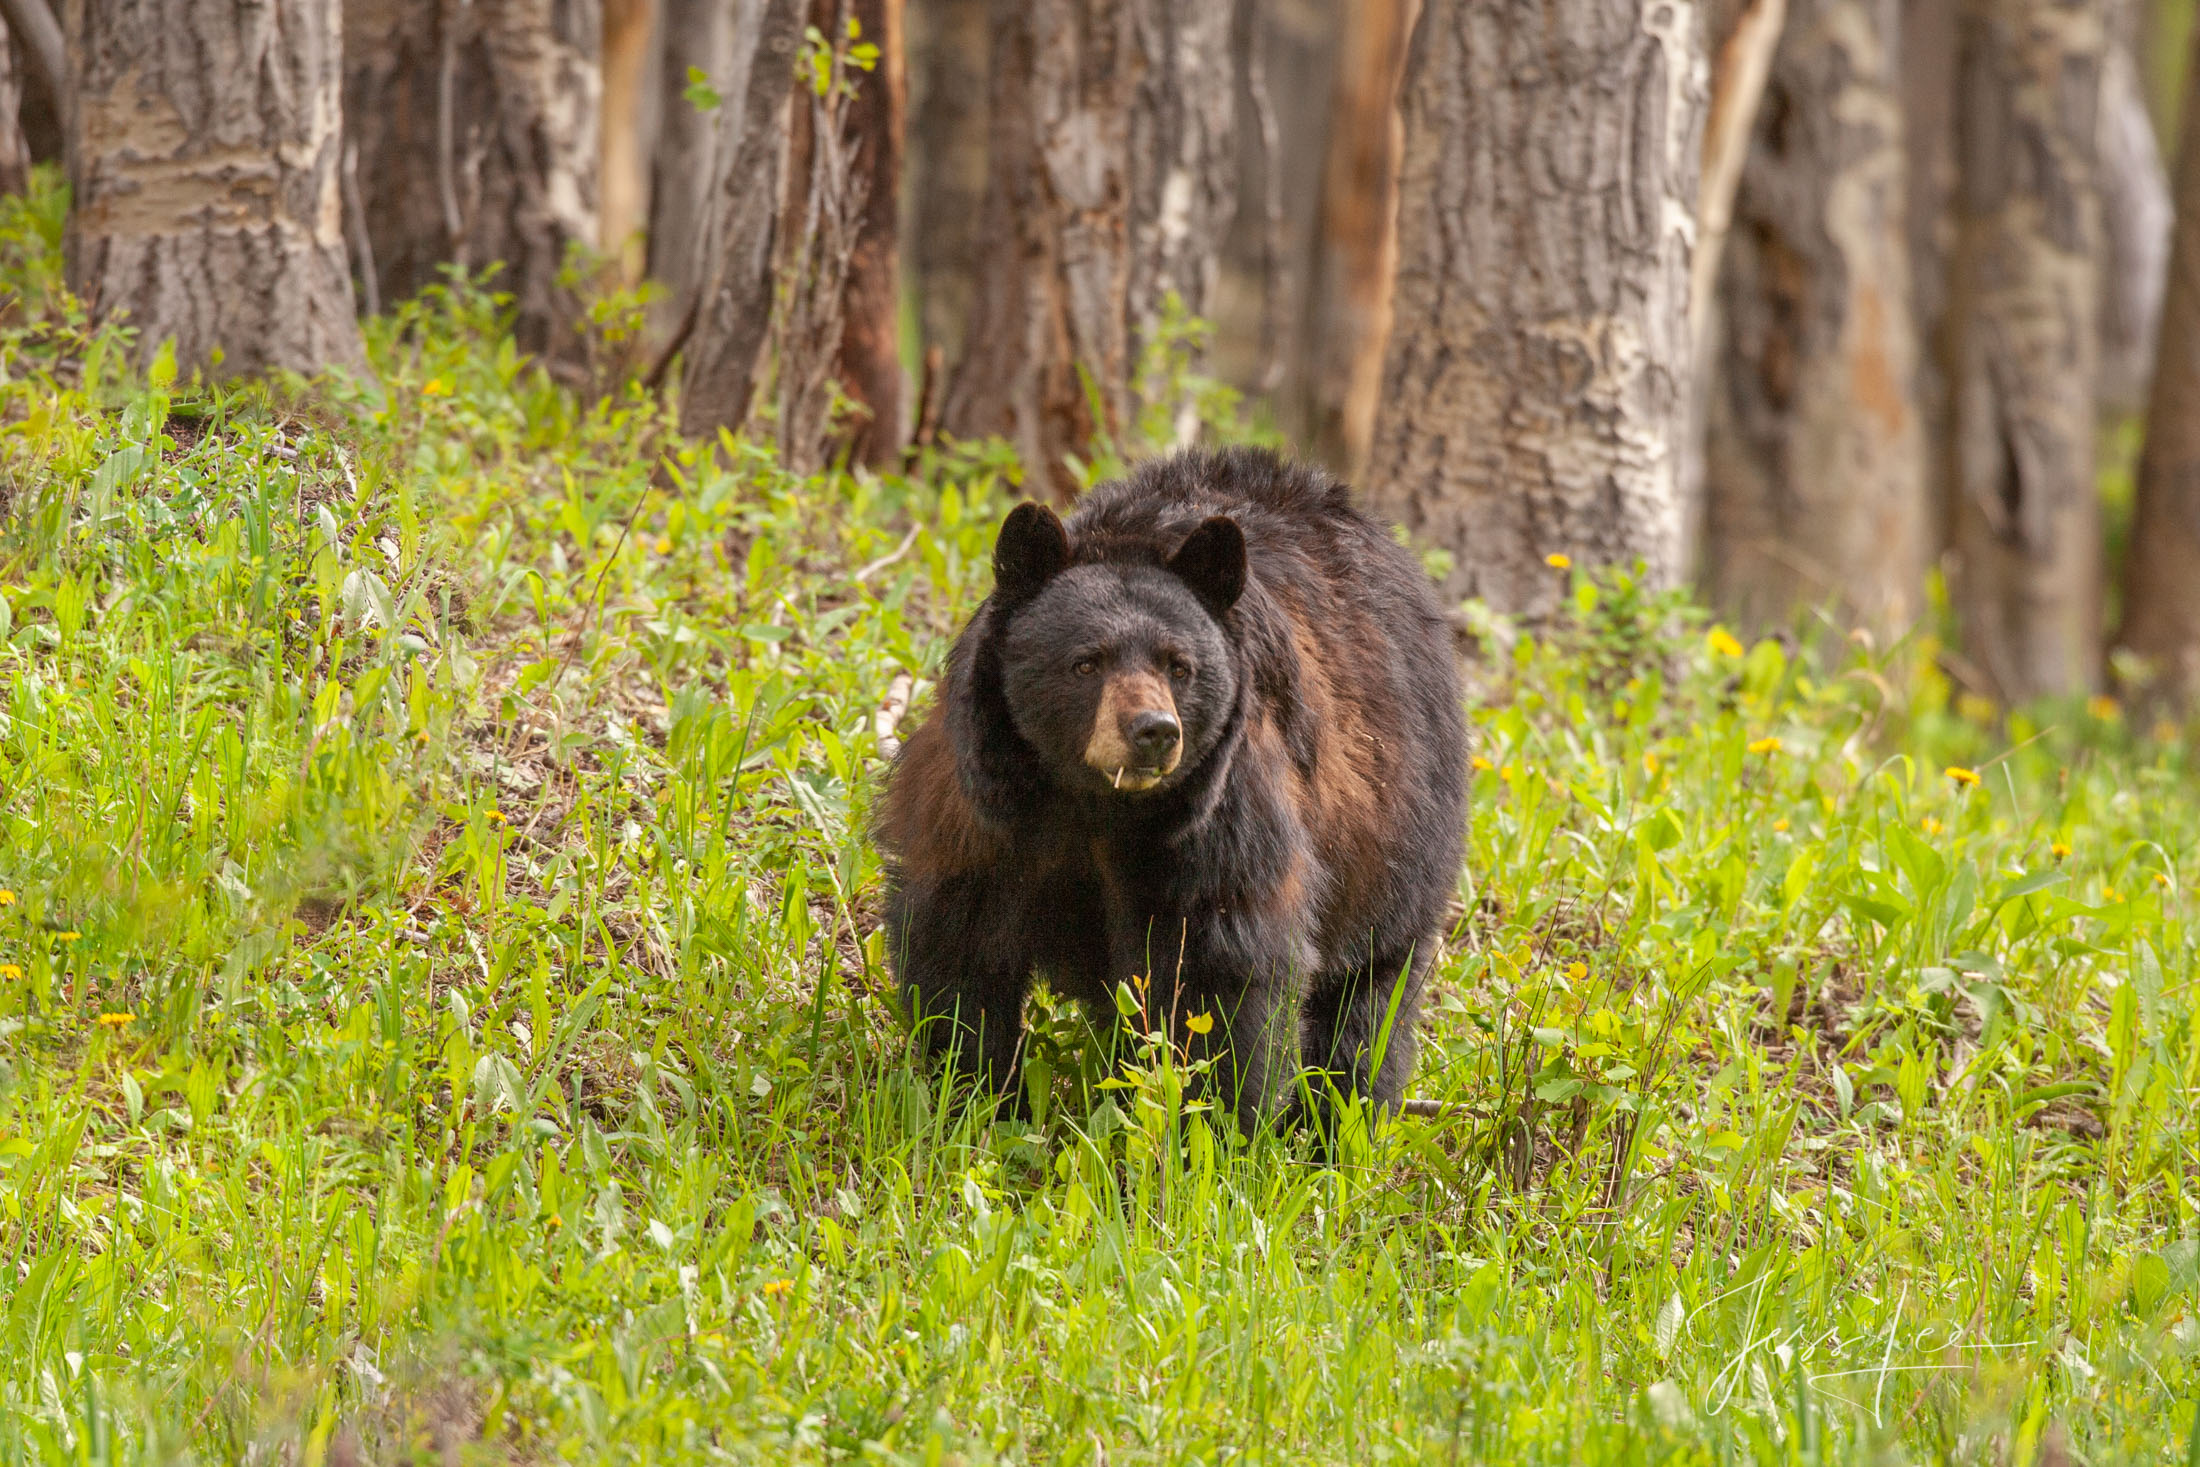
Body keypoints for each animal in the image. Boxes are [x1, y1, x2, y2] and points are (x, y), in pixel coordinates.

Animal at [871, 448, 1460, 1134]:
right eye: (1086, 661)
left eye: (1180, 666)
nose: (1153, 731)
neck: (1091, 803)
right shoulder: (985, 804)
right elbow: (960, 944)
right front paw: (976, 1098)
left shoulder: (1221, 818)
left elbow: (1218, 975)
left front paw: (1213, 1127)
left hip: (1396, 837)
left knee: (1368, 998)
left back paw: (1338, 1125)